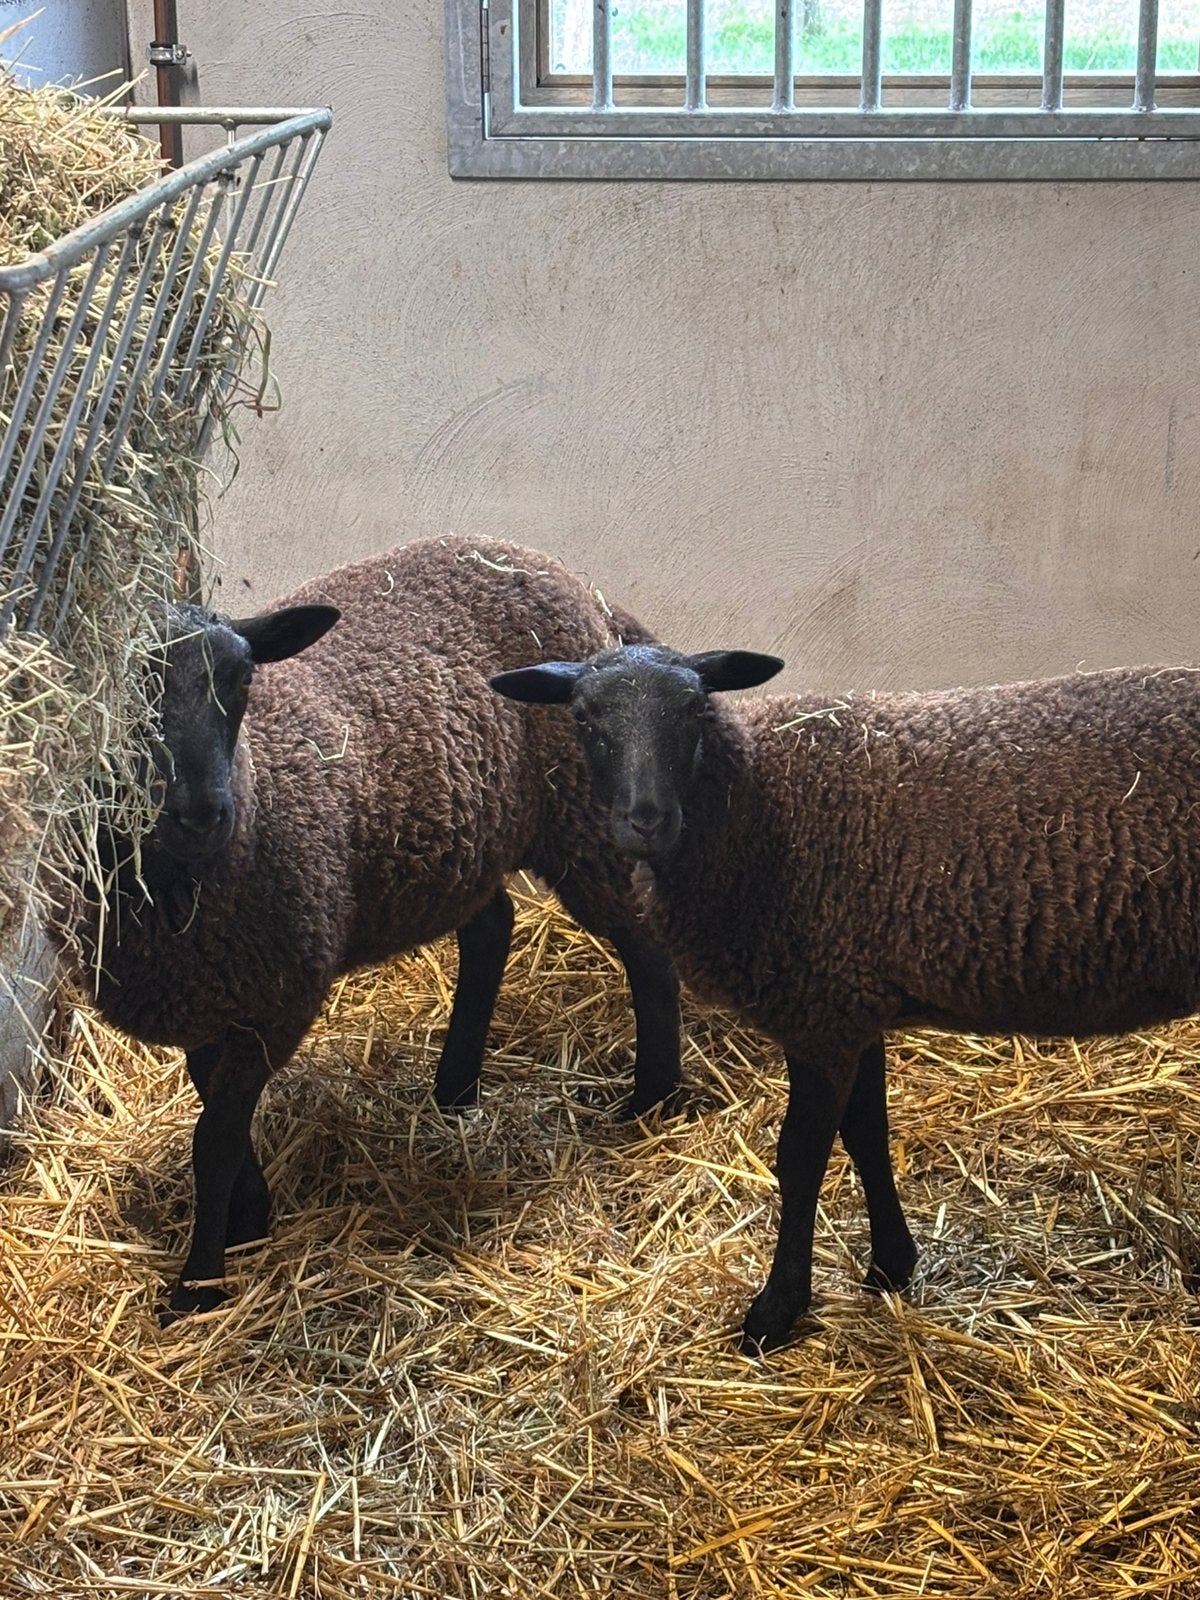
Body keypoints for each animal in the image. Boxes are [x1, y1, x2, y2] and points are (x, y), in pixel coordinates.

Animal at [77, 539, 680, 1318]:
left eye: (241, 680)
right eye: (125, 694)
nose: (202, 813)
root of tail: (569, 580)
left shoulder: (279, 996)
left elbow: (214, 1138)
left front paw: (200, 1283)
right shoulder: (213, 995)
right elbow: (215, 1103)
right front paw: (250, 1214)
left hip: (582, 817)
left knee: (645, 950)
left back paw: (652, 1101)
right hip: (468, 835)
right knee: (492, 929)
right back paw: (454, 1090)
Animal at [492, 642, 1200, 1351]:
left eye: (694, 709)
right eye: (584, 719)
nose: (646, 820)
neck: (758, 811)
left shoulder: (821, 1010)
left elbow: (801, 1158)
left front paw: (776, 1310)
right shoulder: (852, 1004)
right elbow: (865, 1134)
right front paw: (892, 1265)